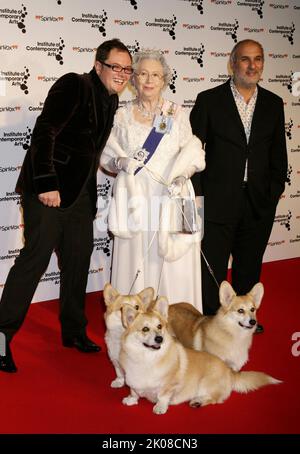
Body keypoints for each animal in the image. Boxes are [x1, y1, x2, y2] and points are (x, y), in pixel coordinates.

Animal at [119, 298, 278, 414]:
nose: (160, 339)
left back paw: (197, 401)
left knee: (216, 398)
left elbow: (163, 396)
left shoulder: (170, 386)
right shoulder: (132, 381)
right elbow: (134, 391)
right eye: (145, 329)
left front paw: (160, 407)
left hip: (204, 383)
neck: (146, 359)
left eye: (160, 327)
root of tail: (229, 371)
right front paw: (131, 399)